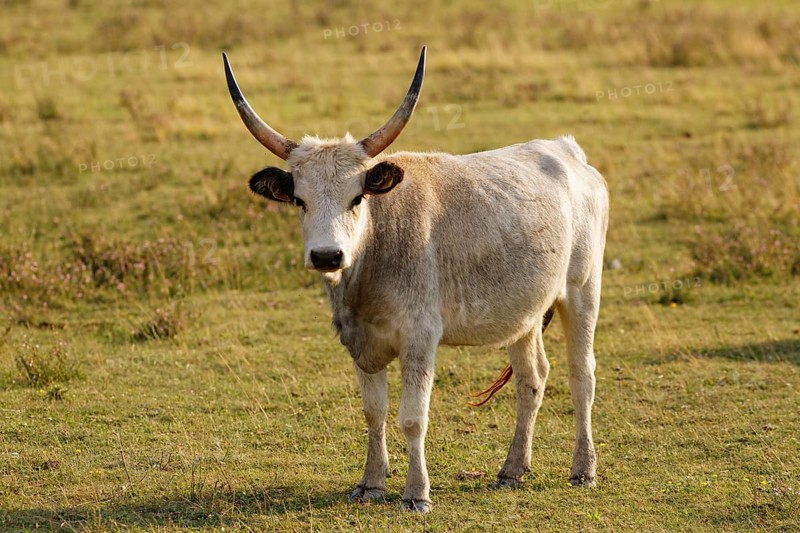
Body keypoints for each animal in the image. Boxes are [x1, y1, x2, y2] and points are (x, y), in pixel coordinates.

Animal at [223, 46, 609, 513]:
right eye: (299, 200)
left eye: (358, 197)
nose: (327, 255)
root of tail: (567, 151)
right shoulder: (360, 342)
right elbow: (374, 412)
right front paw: (371, 483)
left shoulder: (420, 337)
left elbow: (412, 417)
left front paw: (416, 493)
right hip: (524, 312)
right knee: (531, 380)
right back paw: (512, 469)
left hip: (583, 291)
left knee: (581, 374)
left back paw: (584, 469)